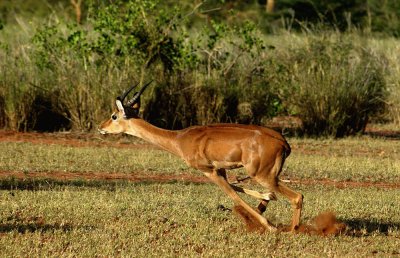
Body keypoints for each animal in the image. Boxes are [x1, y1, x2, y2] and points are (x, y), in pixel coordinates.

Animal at [99, 82, 304, 232]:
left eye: (114, 115)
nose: (101, 127)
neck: (179, 139)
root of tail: (283, 143)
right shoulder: (220, 169)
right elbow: (236, 187)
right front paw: (267, 198)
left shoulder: (208, 171)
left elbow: (233, 195)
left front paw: (270, 226)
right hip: (268, 176)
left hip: (263, 176)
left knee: (298, 196)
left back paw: (292, 230)